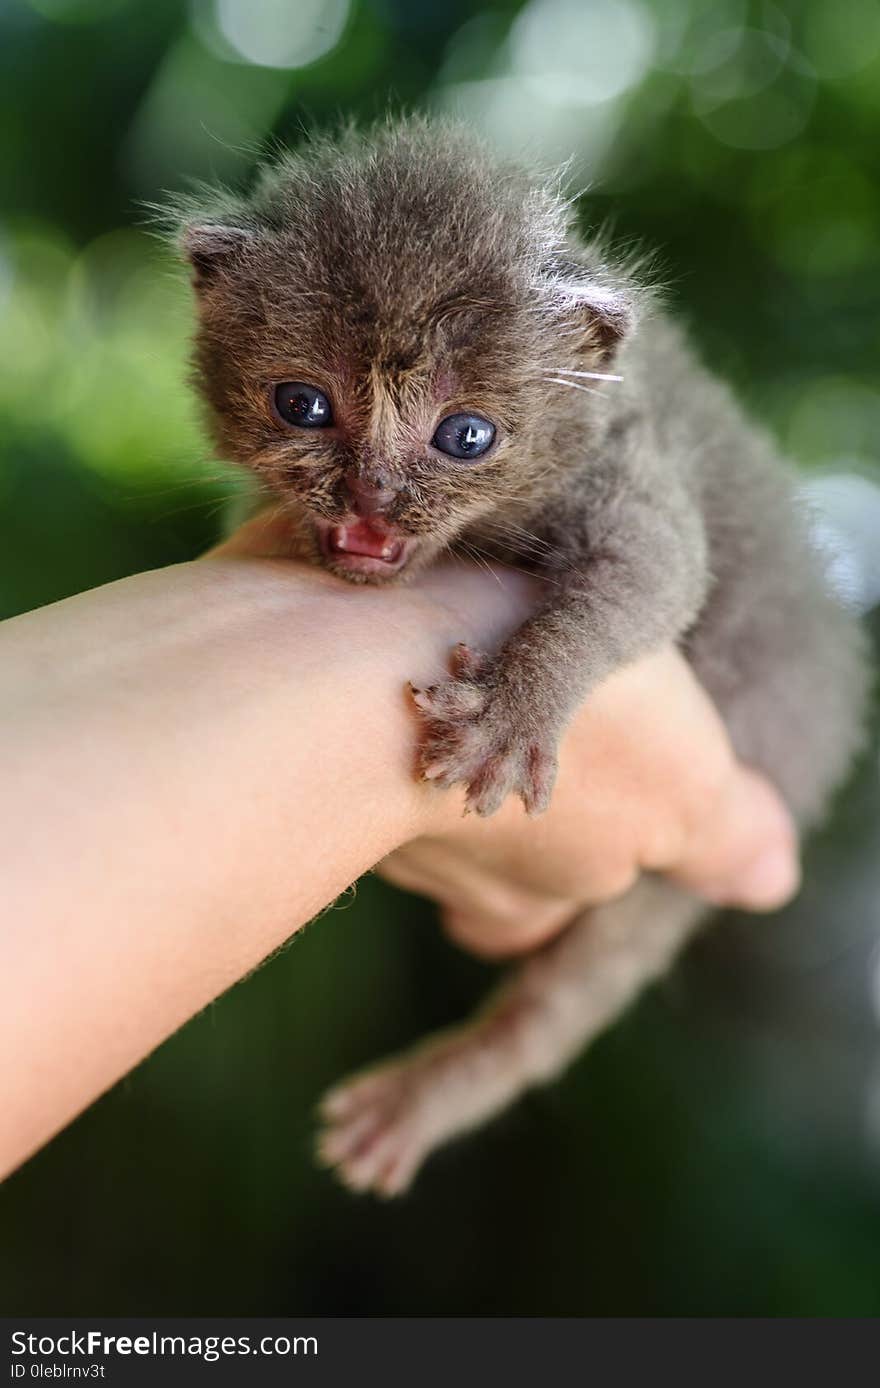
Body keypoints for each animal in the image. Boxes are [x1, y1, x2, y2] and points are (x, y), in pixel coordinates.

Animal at [169, 119, 866, 1199]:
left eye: (466, 434)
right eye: (302, 404)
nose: (372, 495)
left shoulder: (633, 468)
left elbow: (650, 578)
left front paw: (515, 709)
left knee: (555, 1009)